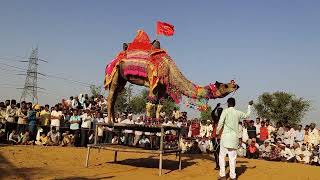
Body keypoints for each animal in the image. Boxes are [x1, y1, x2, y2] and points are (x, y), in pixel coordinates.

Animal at [104, 31, 239, 123]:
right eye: (226, 85)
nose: (236, 85)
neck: (169, 68)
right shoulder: (153, 81)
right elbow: (150, 102)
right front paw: (147, 122)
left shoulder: (163, 86)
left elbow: (159, 105)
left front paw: (158, 123)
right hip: (115, 73)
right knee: (111, 95)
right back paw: (110, 121)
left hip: (122, 79)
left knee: (116, 95)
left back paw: (114, 120)